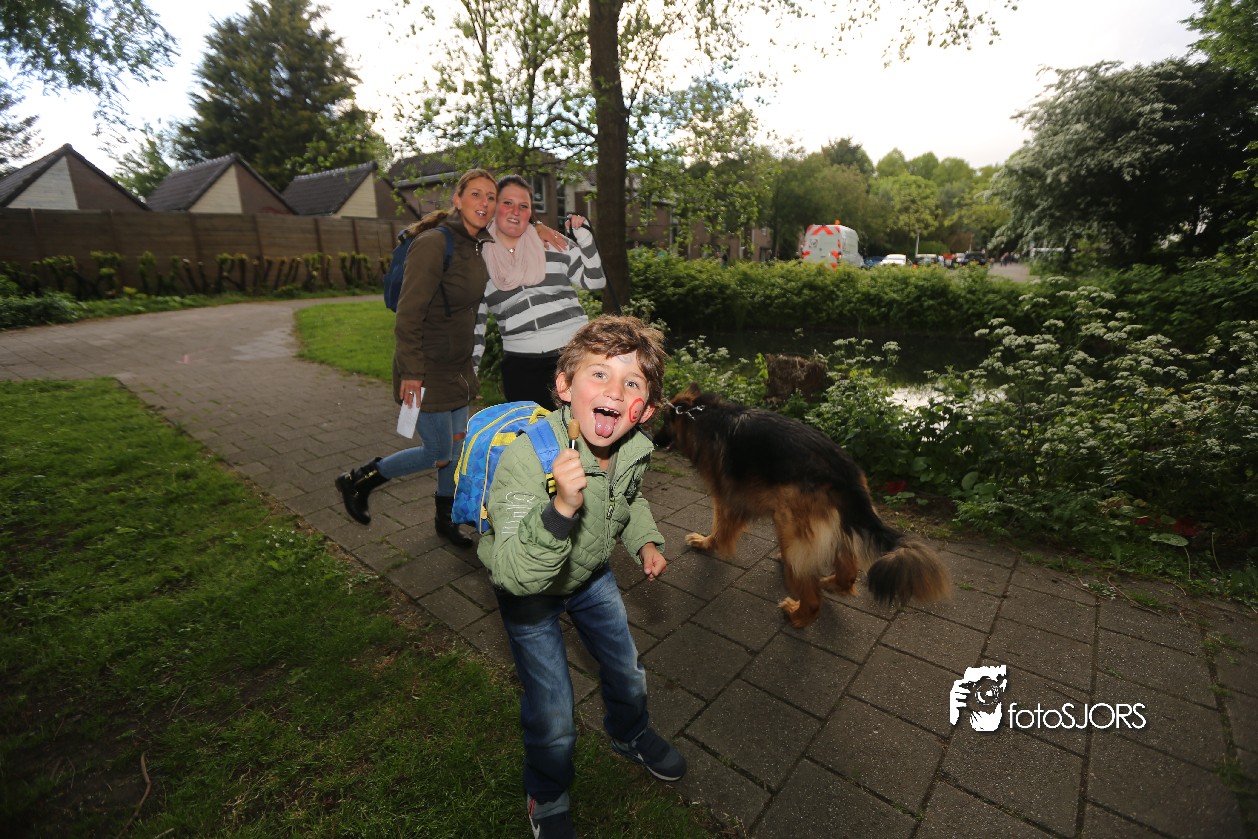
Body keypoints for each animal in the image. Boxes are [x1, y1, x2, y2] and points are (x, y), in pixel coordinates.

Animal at [655, 384, 950, 628]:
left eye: (664, 422)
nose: (654, 441)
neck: (702, 413)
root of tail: (844, 472)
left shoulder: (725, 499)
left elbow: (720, 527)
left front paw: (707, 543)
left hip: (790, 524)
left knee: (812, 595)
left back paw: (797, 615)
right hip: (827, 523)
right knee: (848, 570)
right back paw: (832, 583)